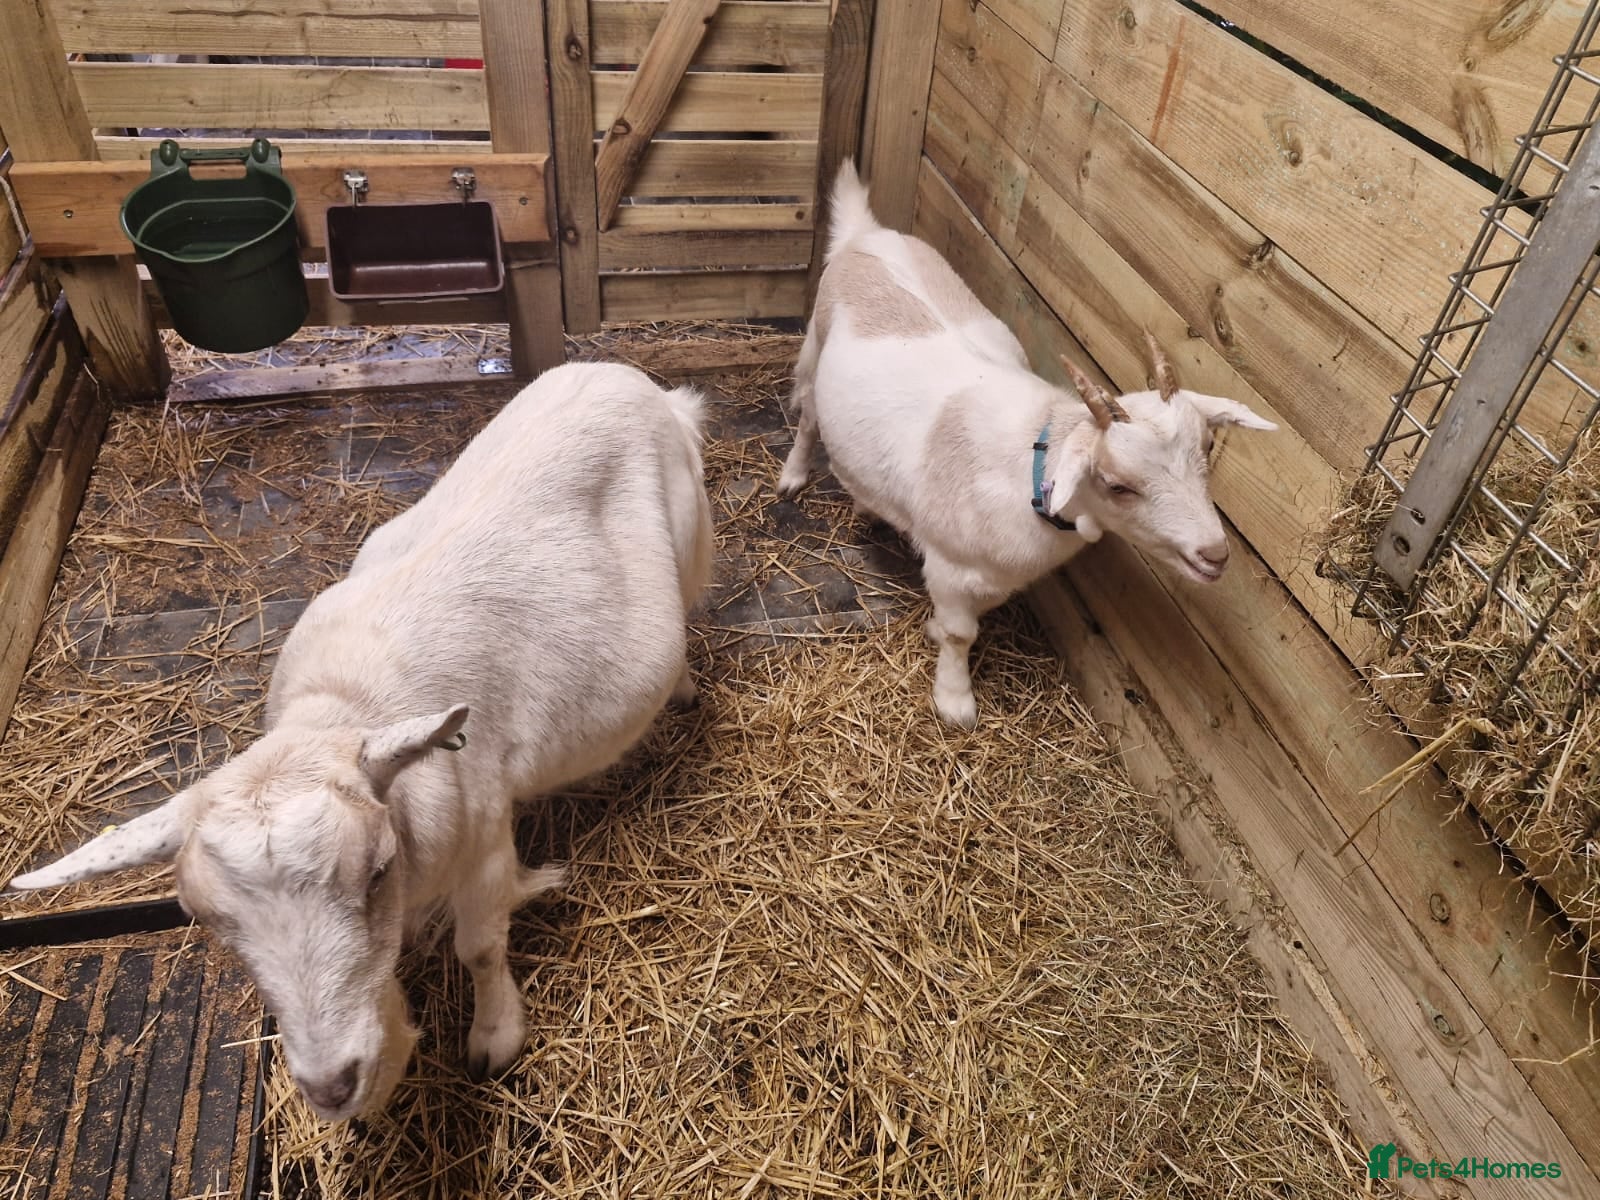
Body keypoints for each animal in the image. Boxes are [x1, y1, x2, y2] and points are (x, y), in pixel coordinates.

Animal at [7, 362, 715, 1121]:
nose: (330, 1086)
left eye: (376, 870)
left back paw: (682, 688)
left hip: (688, 533)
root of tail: (622, 375)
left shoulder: (484, 828)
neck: (340, 706)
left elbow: (480, 947)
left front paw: (494, 1035)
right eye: (205, 918)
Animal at [777, 162, 1276, 727]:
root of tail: (865, 234)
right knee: (808, 419)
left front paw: (933, 634)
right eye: (1116, 484)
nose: (1213, 554)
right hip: (814, 353)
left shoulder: (994, 577)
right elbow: (961, 633)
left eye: (1209, 447)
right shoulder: (949, 564)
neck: (1032, 467)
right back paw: (793, 476)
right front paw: (955, 700)